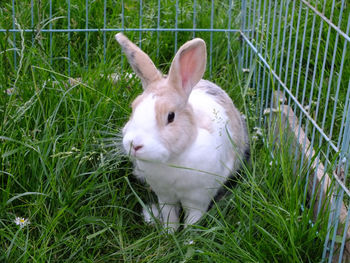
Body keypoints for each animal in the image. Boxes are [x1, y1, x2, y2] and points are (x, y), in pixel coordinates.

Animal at [115, 33, 249, 233]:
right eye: (133, 108)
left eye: (170, 116)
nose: (135, 145)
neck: (173, 161)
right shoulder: (165, 196)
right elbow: (170, 214)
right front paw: (169, 233)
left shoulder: (198, 198)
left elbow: (193, 219)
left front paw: (188, 237)